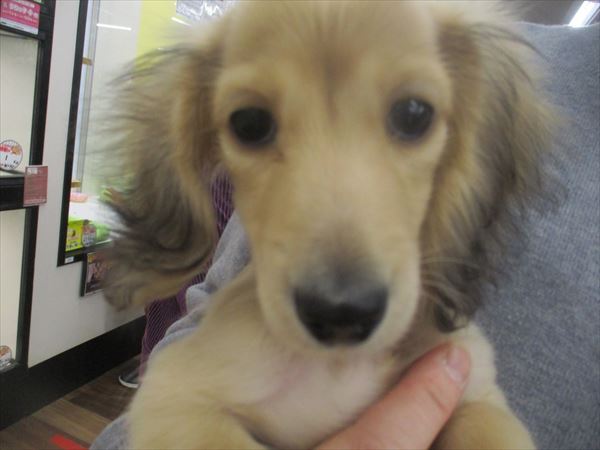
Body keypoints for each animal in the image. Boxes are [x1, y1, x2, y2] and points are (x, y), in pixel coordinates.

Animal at [104, 1, 555, 448]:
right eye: (248, 123)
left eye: (414, 114)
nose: (342, 313)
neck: (339, 367)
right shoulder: (176, 394)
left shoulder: (479, 394)